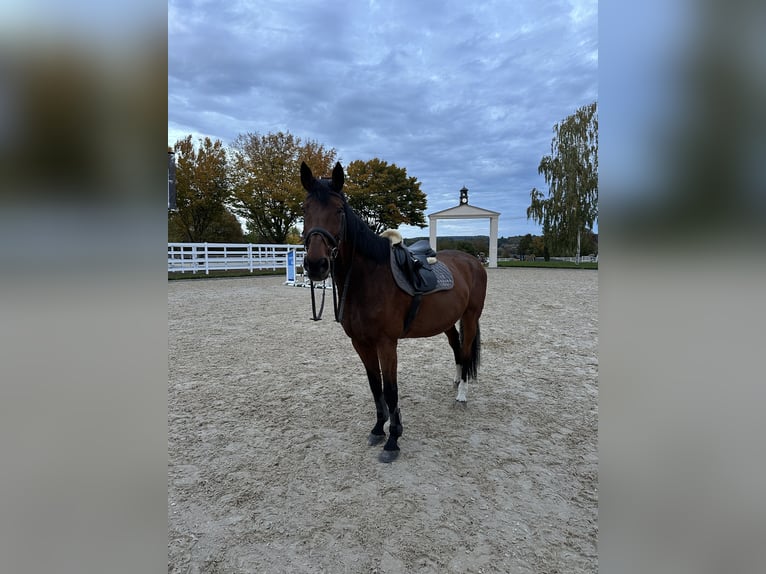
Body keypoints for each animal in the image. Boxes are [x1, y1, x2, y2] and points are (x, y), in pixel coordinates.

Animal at [300, 161, 487, 462]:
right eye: (305, 209)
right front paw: (378, 429)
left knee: (467, 350)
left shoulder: (386, 343)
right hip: (447, 322)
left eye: (339, 210)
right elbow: (375, 385)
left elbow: (390, 390)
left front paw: (393, 440)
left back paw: (462, 394)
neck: (368, 278)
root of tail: (472, 260)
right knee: (457, 349)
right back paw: (456, 379)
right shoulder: (360, 342)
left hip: (470, 317)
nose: (316, 265)